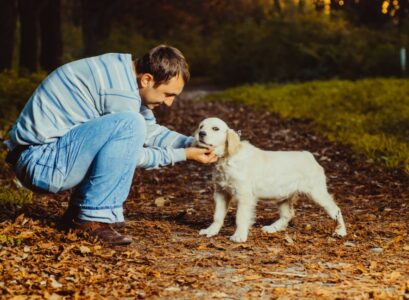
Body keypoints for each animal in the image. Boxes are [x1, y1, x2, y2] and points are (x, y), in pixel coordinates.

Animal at [194, 116, 344, 243]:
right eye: (201, 126)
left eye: (215, 128)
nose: (201, 133)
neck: (226, 158)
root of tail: (309, 155)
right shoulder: (221, 192)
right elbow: (217, 215)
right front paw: (211, 231)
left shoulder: (244, 195)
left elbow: (240, 217)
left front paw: (239, 236)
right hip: (284, 195)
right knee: (288, 214)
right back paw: (272, 228)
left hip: (317, 192)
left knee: (336, 209)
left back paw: (341, 231)